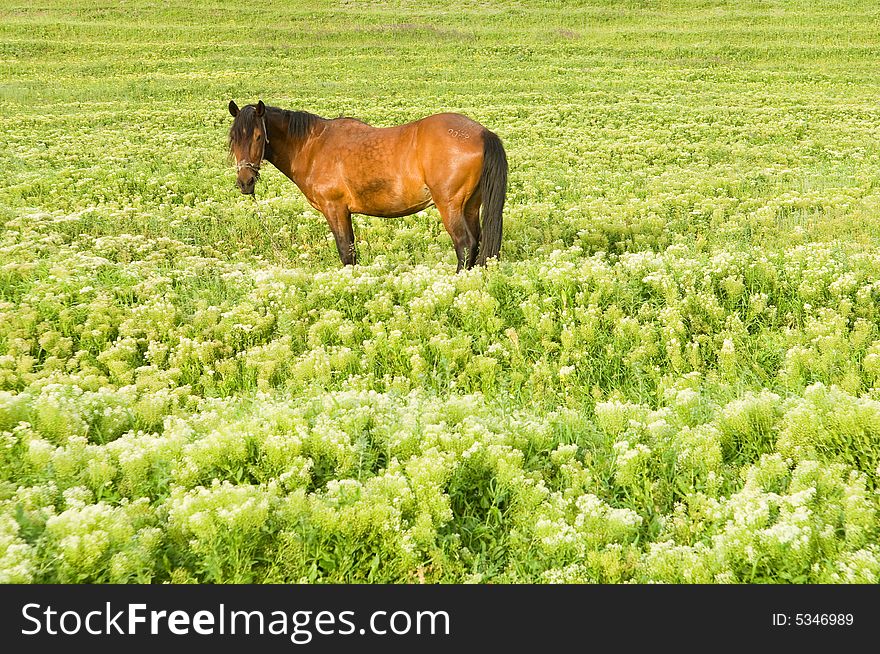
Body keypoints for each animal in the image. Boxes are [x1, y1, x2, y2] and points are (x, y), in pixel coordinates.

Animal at [225, 100, 508, 270]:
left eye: (258, 136)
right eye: (233, 138)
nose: (245, 182)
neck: (313, 146)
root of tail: (482, 133)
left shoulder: (335, 209)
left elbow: (346, 253)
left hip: (449, 206)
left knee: (465, 245)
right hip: (470, 206)